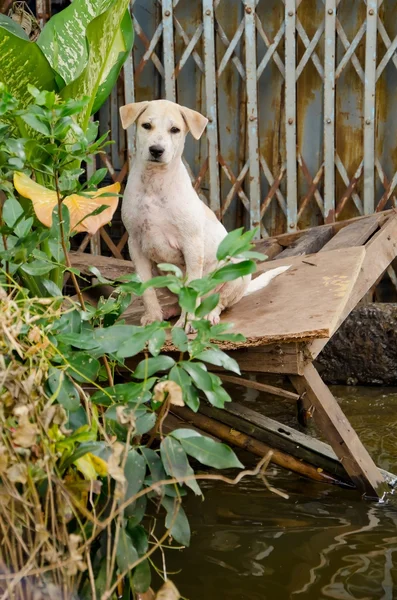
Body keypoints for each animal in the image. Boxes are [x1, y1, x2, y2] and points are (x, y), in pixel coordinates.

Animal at [120, 100, 288, 330]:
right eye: (146, 125)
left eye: (175, 130)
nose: (156, 150)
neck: (155, 183)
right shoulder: (135, 245)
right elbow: (146, 289)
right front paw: (153, 317)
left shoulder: (191, 245)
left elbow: (192, 287)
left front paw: (188, 322)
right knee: (178, 299)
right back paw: (170, 311)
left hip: (236, 271)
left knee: (220, 302)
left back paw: (207, 315)